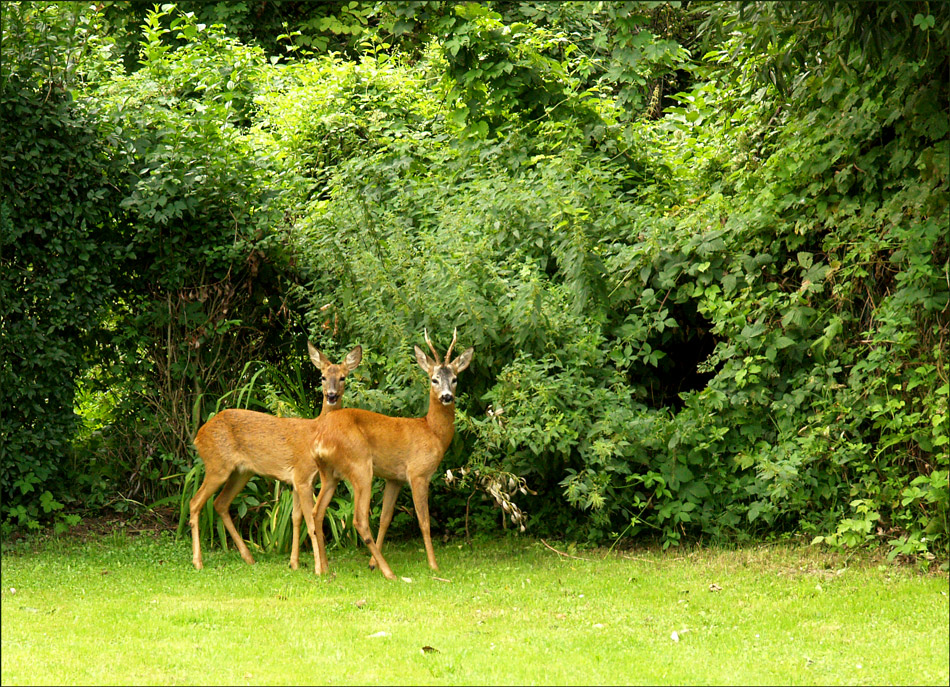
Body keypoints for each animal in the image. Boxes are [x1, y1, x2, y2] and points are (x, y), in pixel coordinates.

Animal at [190, 342, 364, 572]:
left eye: (343, 377)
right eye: (323, 377)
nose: (332, 395)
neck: (315, 433)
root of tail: (198, 436)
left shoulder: (299, 481)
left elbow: (296, 518)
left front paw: (295, 563)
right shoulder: (302, 476)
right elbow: (310, 521)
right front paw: (320, 568)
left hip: (241, 472)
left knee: (220, 503)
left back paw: (248, 557)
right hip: (217, 466)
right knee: (195, 502)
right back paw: (198, 561)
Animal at [314, 330, 474, 572]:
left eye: (455, 379)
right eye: (434, 379)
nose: (447, 396)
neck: (432, 431)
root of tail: (321, 438)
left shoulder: (394, 478)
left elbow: (385, 518)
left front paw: (372, 563)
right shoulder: (418, 473)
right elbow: (424, 521)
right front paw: (433, 564)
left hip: (329, 473)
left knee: (317, 511)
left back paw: (323, 569)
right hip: (361, 466)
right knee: (359, 519)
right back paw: (388, 572)